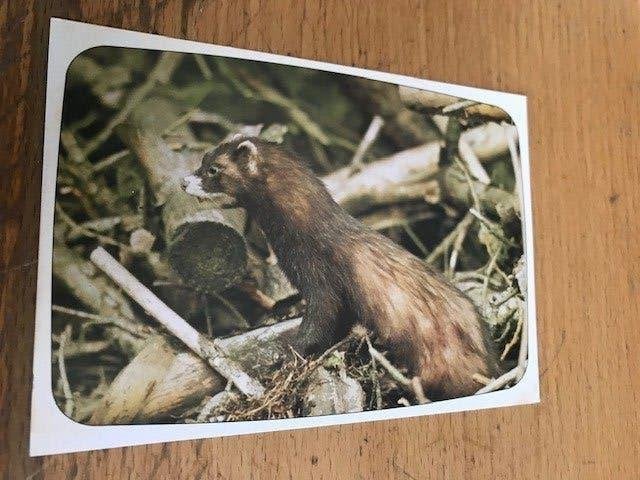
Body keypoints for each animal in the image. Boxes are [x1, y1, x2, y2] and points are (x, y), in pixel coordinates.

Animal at [182, 137, 497, 399]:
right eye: (203, 157)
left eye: (213, 169)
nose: (184, 181)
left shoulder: (321, 282)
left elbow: (318, 323)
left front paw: (290, 355)